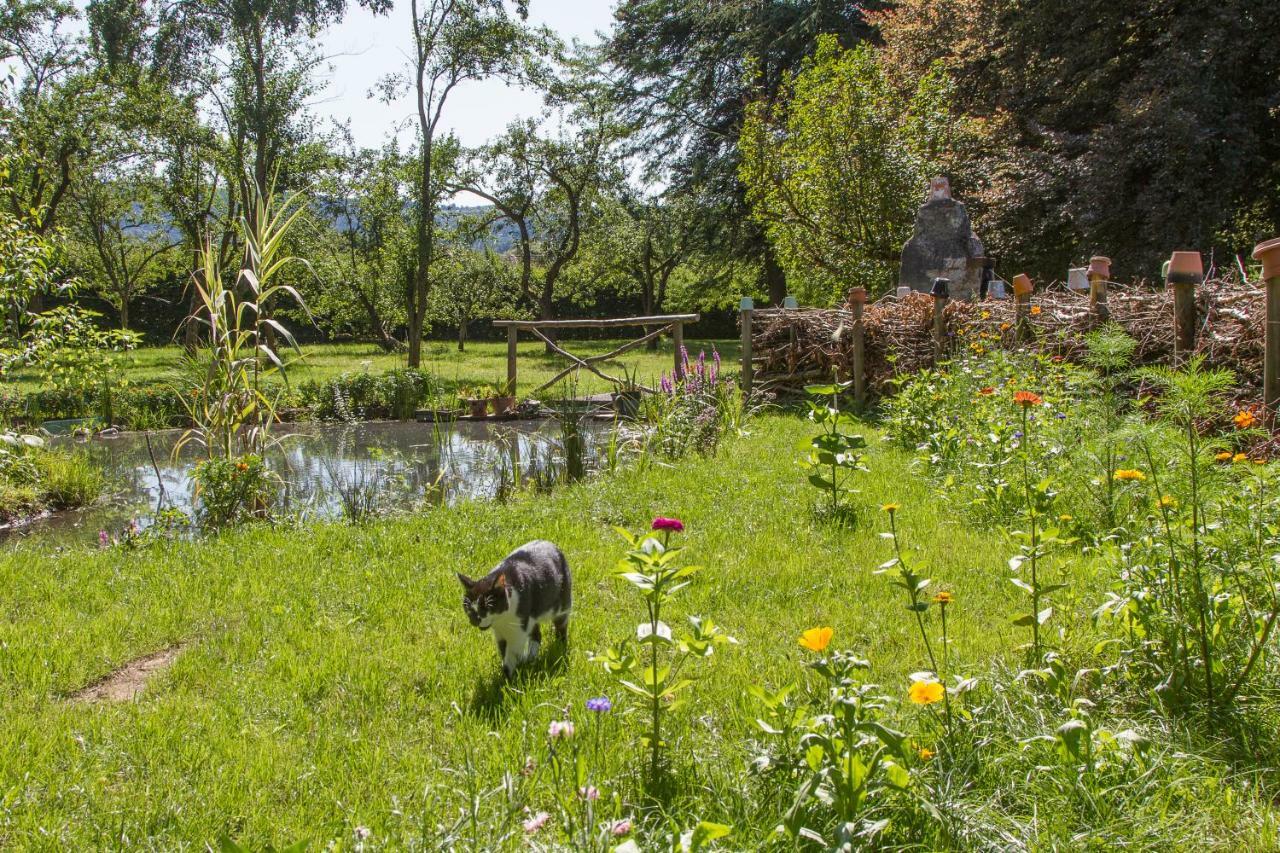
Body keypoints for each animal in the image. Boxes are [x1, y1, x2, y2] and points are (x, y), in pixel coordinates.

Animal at [458, 540, 573, 676]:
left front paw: (508, 678)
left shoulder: (518, 629)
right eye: (467, 607)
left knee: (561, 626)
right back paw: (530, 658)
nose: (475, 619)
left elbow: (510, 655)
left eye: (488, 606)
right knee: (537, 635)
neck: (501, 620)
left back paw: (559, 647)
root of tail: (550, 543)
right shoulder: (500, 633)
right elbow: (503, 651)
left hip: (562, 602)